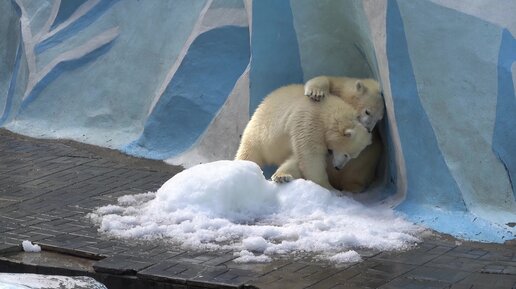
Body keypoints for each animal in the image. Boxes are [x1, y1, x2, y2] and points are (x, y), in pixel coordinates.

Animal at [236, 84, 372, 190]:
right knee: (249, 152)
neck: (327, 112)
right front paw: (329, 188)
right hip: (259, 132)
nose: (338, 167)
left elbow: (299, 158)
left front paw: (282, 176)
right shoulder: (309, 121)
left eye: (353, 157)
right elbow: (310, 156)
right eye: (346, 154)